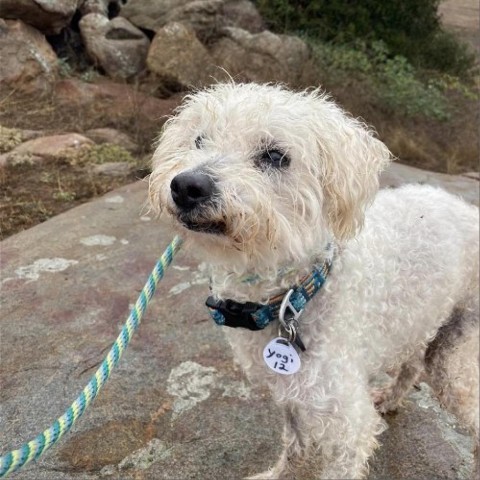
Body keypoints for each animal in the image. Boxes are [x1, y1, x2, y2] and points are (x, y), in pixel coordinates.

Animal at [148, 83, 478, 480]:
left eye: (276, 156)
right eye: (199, 139)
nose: (186, 186)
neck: (295, 295)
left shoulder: (349, 426)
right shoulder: (290, 389)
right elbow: (295, 443)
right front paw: (277, 474)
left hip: (456, 360)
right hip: (419, 322)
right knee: (412, 365)